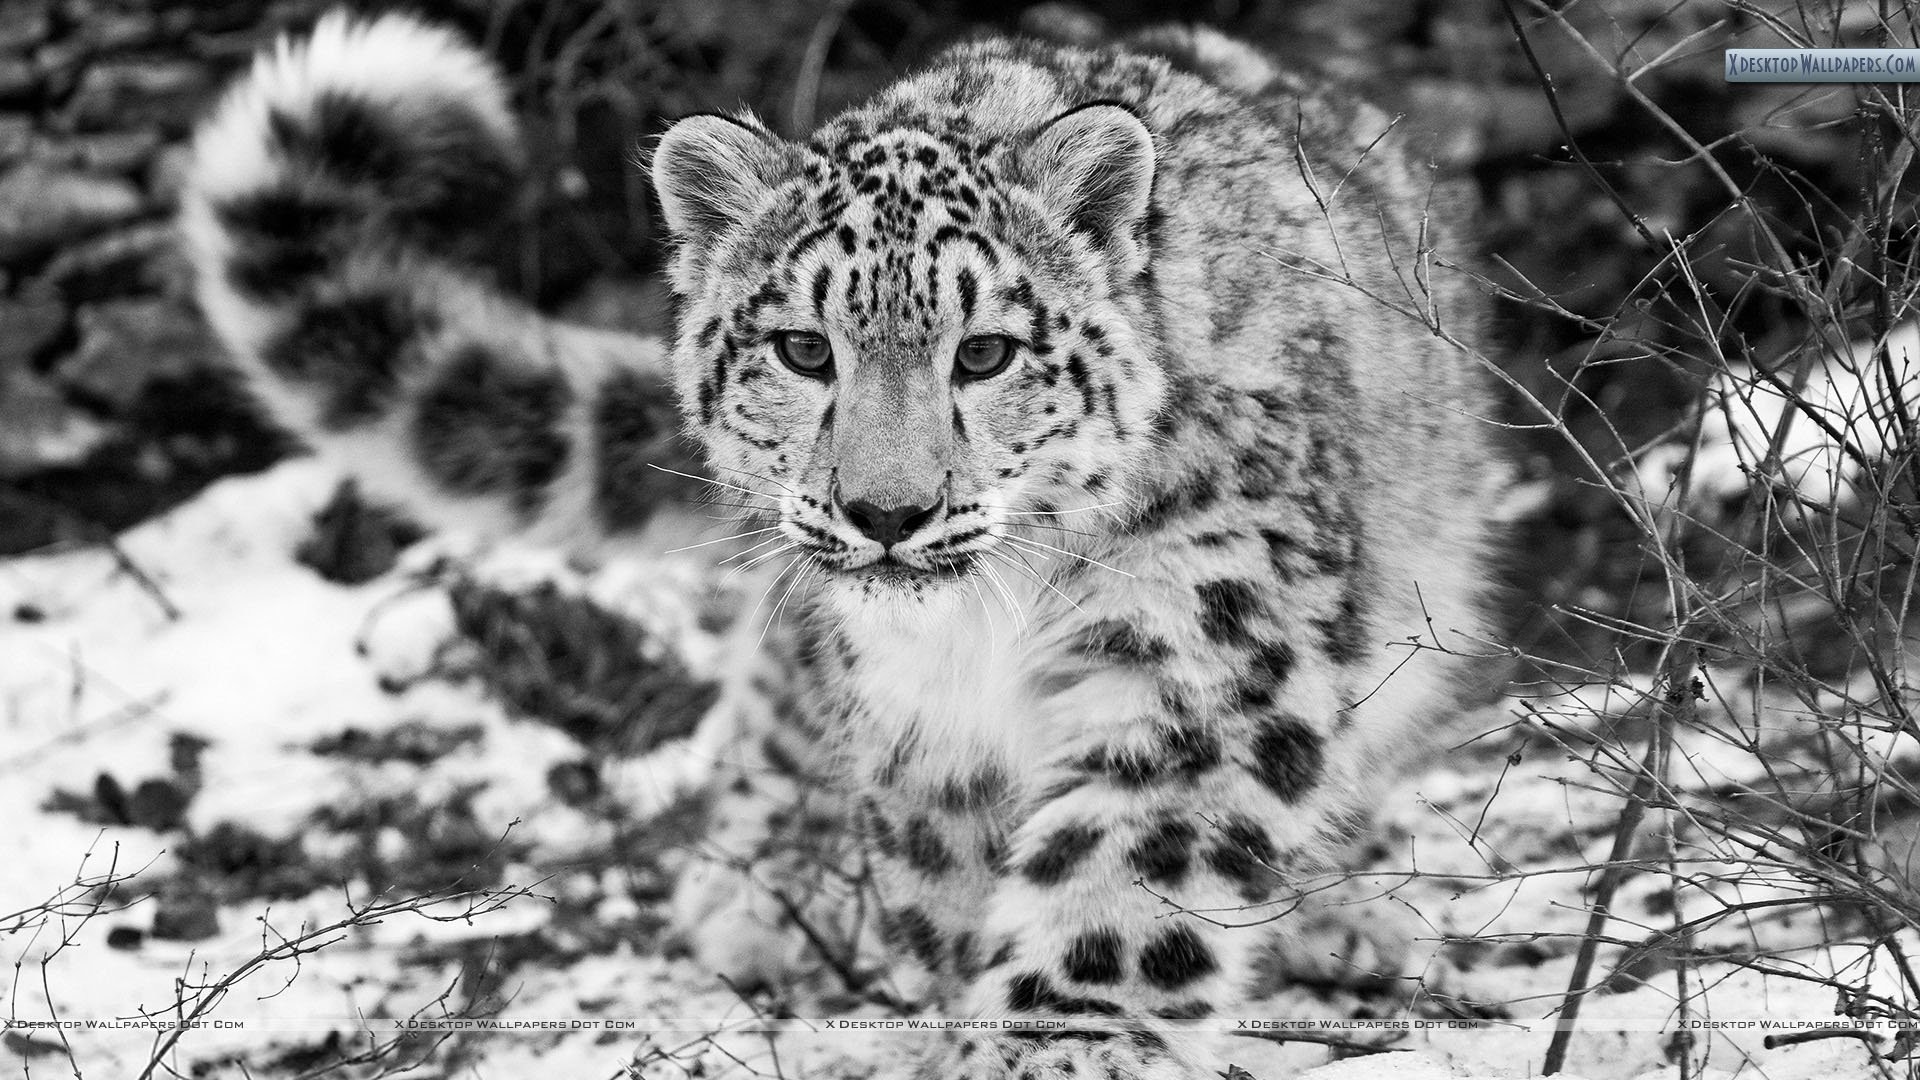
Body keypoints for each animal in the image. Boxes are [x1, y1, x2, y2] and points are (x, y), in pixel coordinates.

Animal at [181, 10, 1497, 1079]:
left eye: (986, 352)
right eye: (804, 349)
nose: (886, 512)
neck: (990, 627)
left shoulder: (1196, 646)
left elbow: (1127, 869)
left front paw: (1056, 1047)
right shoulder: (921, 726)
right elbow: (954, 882)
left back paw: (1344, 917)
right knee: (773, 696)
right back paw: (762, 890)